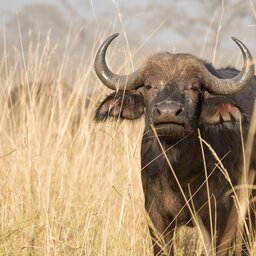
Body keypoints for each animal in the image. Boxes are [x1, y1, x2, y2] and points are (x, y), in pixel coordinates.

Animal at [94, 34, 256, 256]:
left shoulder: (222, 217)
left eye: (194, 87)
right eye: (149, 86)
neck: (180, 173)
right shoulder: (156, 217)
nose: (168, 112)